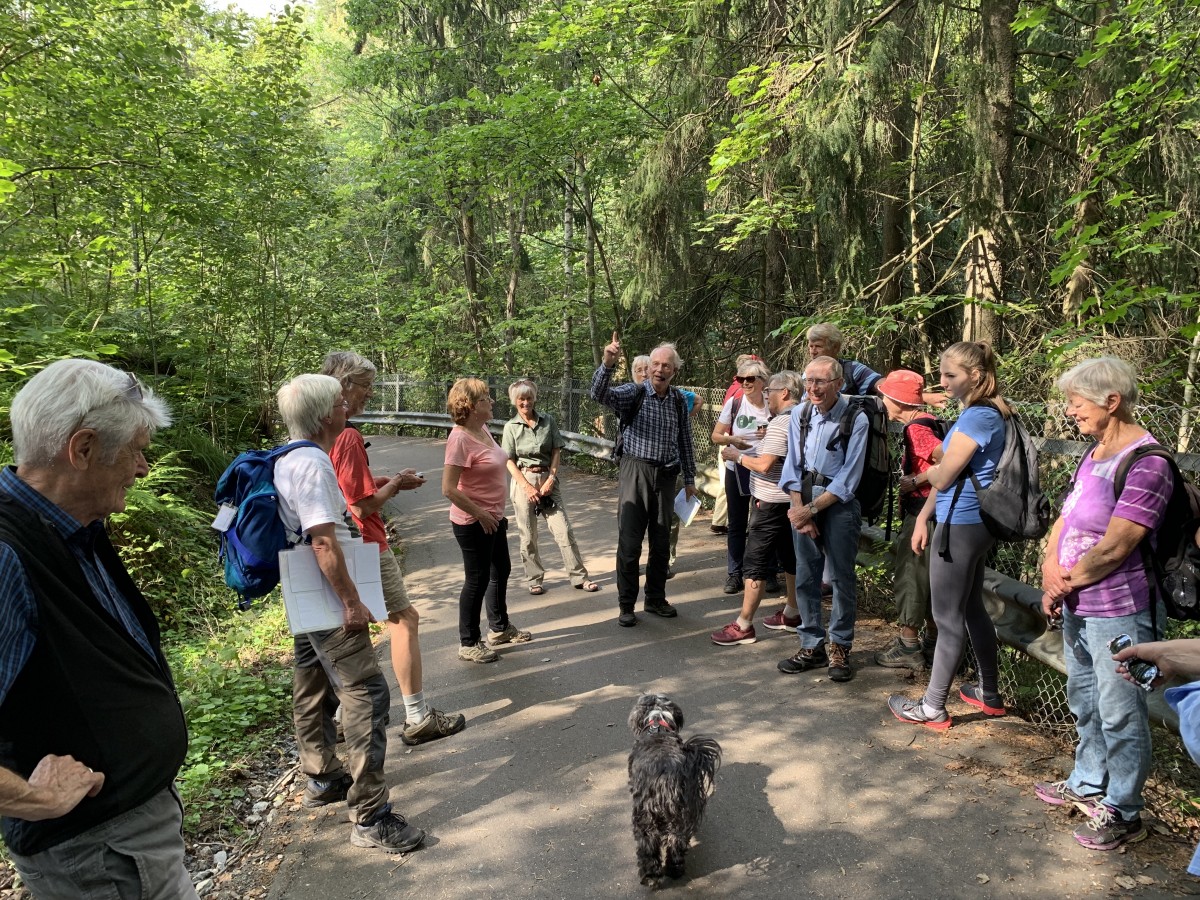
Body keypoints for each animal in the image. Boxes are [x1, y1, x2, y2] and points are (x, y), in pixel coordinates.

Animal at [628, 696, 720, 888]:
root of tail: (667, 776)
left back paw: (650, 877)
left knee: (648, 848)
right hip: (679, 820)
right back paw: (674, 871)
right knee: (676, 844)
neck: (658, 723)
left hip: (645, 818)